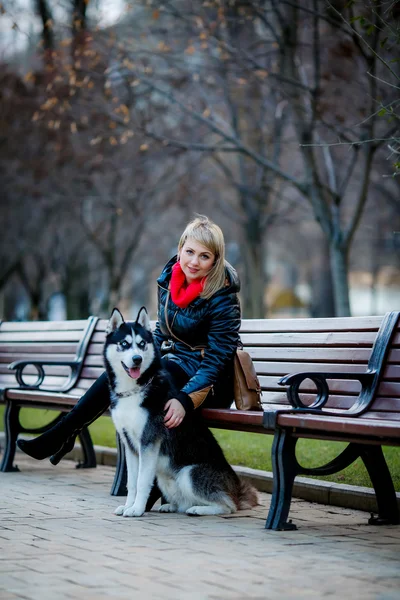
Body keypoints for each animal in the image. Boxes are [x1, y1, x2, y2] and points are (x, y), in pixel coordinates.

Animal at [104, 308, 260, 516]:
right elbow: (132, 482)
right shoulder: (130, 444)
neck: (135, 389)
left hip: (189, 473)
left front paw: (136, 509)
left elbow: (142, 481)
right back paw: (172, 506)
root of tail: (235, 487)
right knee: (183, 502)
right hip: (164, 478)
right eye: (124, 344)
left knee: (229, 505)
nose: (137, 359)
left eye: (142, 344)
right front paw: (129, 505)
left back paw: (199, 509)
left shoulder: (149, 442)